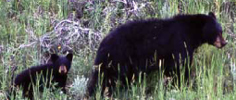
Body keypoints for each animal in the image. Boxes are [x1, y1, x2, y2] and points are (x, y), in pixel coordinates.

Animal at [86, 12, 227, 96]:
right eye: (217, 32)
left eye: (221, 31)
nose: (224, 43)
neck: (191, 33)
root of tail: (102, 43)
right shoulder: (179, 44)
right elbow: (179, 67)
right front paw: (183, 86)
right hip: (116, 59)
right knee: (103, 79)